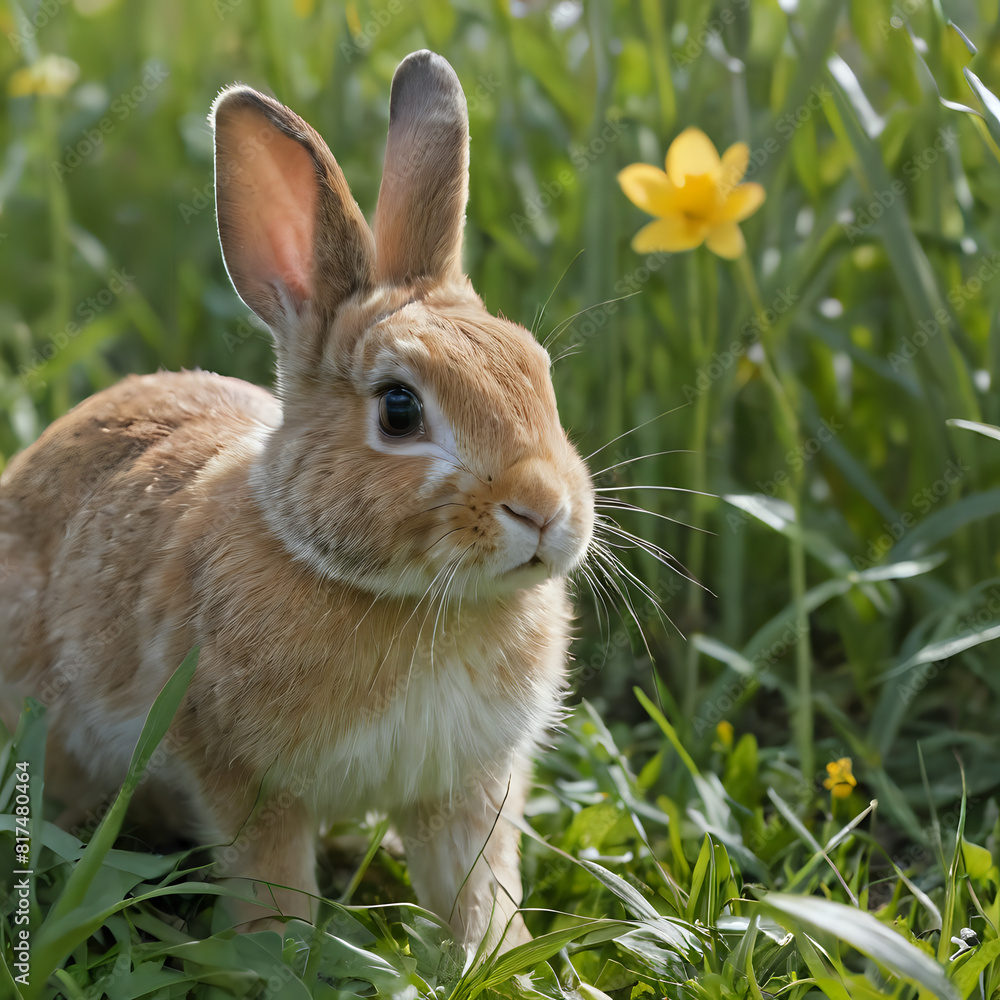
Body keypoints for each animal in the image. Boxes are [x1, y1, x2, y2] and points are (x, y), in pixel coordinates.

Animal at [0, 49, 594, 952]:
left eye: (539, 373)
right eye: (399, 410)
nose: (544, 510)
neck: (396, 596)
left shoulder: (464, 788)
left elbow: (475, 887)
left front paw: (498, 959)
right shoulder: (241, 778)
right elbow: (272, 884)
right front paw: (277, 956)